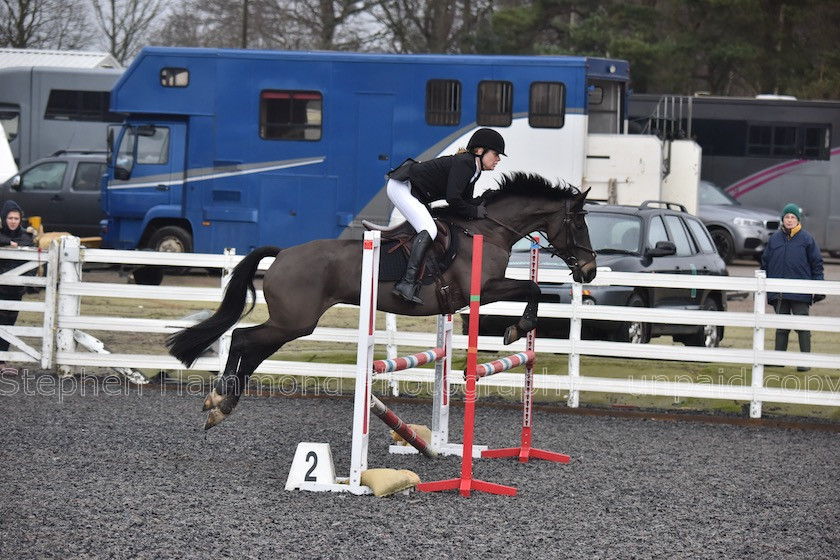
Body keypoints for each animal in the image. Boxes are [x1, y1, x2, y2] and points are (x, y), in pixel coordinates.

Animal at [167, 173, 592, 426]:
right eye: (578, 223)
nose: (588, 270)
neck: (489, 230)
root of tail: (284, 253)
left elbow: (532, 288)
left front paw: (518, 328)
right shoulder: (483, 290)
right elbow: (533, 288)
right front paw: (517, 329)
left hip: (292, 323)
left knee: (254, 347)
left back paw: (222, 406)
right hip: (295, 321)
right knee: (243, 339)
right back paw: (218, 399)